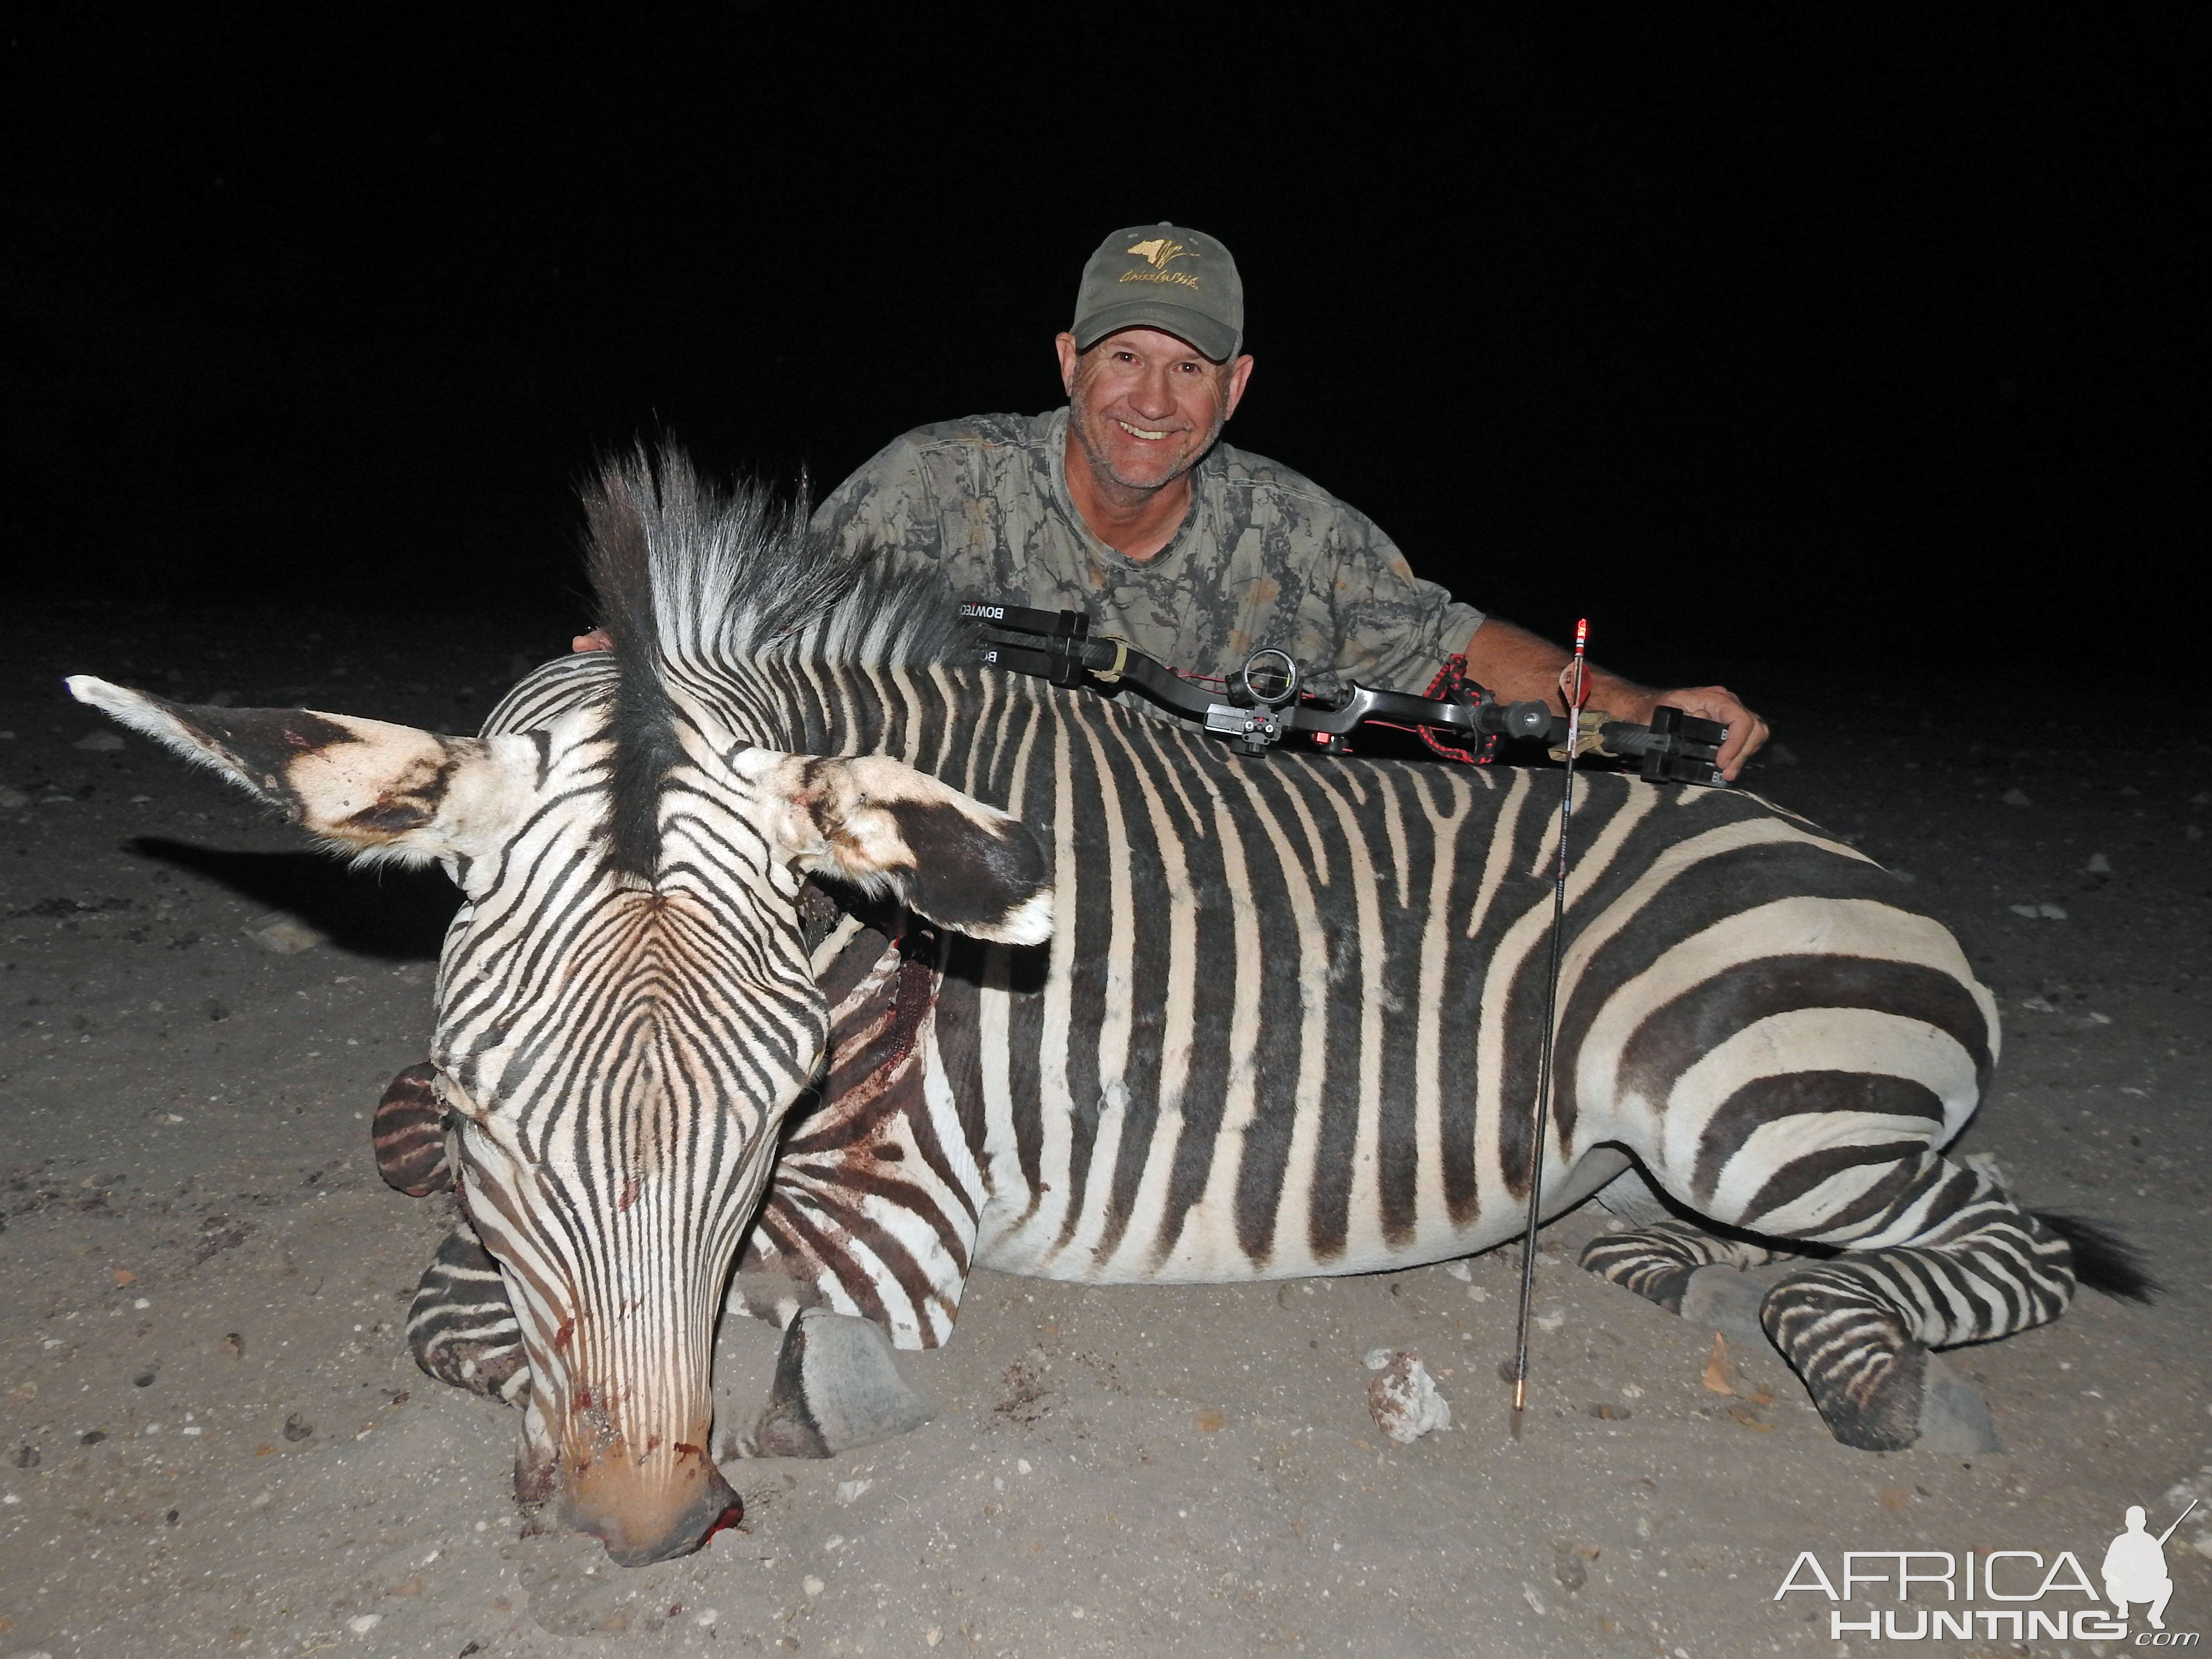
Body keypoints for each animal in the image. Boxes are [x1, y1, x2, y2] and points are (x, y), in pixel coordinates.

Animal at [69, 451, 2141, 1575]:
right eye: (489, 1106)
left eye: (773, 1107)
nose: (652, 1527)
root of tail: (1841, 855)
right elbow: (456, 1293)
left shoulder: (896, 1208)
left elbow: (596, 1326)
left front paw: (806, 1397)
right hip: (1683, 1146)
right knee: (1689, 1240)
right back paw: (1678, 1283)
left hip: (1768, 1108)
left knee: (1983, 1242)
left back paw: (1869, 1371)